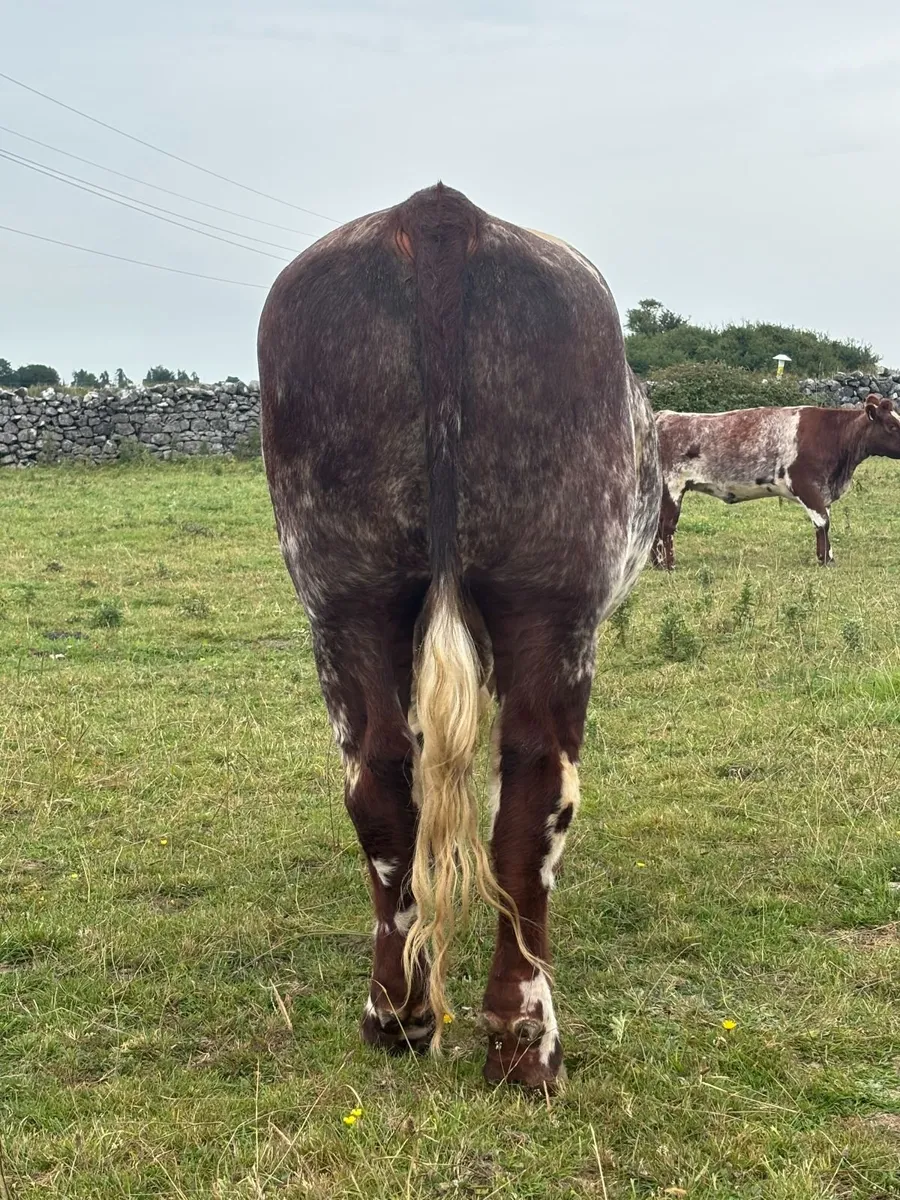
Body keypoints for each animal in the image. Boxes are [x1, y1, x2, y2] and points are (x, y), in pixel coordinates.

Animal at [258, 183, 661, 1090]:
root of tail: (437, 214)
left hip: (344, 597)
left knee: (380, 784)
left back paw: (398, 1015)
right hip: (552, 606)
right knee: (537, 789)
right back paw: (524, 1040)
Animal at [651, 397, 900, 570]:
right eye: (892, 426)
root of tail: (662, 416)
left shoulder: (823, 491)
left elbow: (824, 524)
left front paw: (828, 558)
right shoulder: (805, 485)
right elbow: (823, 523)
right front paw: (823, 560)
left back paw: (657, 563)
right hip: (672, 486)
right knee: (667, 526)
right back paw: (669, 565)